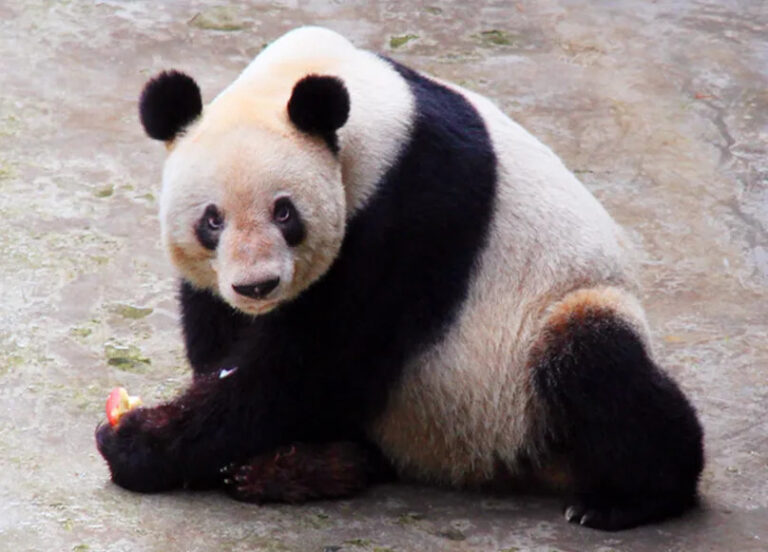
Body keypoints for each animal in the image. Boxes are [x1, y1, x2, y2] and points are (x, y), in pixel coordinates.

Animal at [96, 26, 704, 531]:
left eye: (285, 212)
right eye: (212, 220)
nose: (257, 286)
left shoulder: (412, 206)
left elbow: (319, 362)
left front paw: (136, 441)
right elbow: (225, 339)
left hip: (542, 337)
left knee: (594, 362)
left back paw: (629, 497)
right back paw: (316, 465)